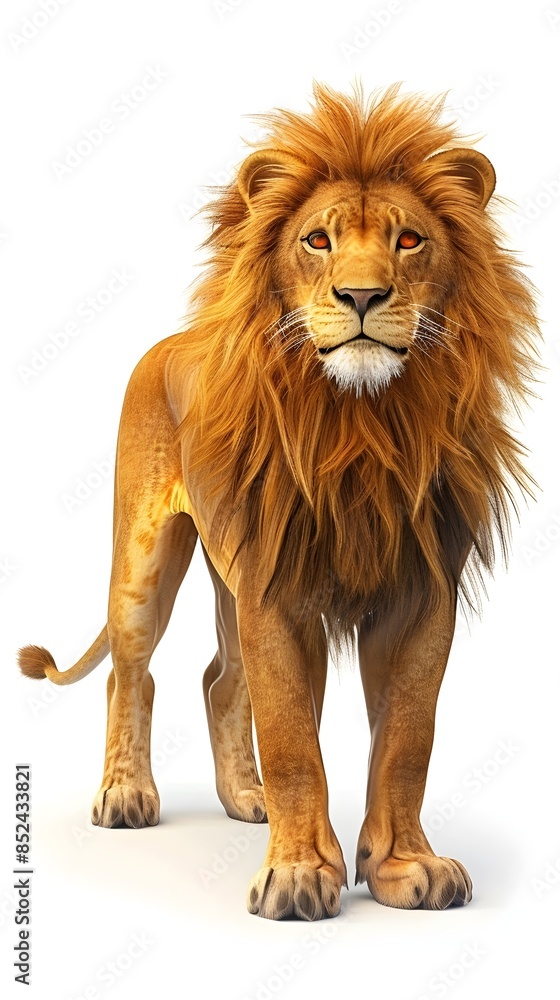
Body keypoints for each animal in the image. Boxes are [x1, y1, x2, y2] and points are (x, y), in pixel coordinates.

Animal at [18, 83, 539, 921]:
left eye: (410, 241)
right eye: (318, 241)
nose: (361, 295)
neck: (362, 425)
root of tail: (171, 340)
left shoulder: (423, 594)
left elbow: (406, 740)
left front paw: (403, 866)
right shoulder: (276, 593)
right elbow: (294, 739)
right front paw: (297, 876)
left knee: (219, 680)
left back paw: (247, 797)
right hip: (145, 563)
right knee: (132, 672)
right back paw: (127, 794)